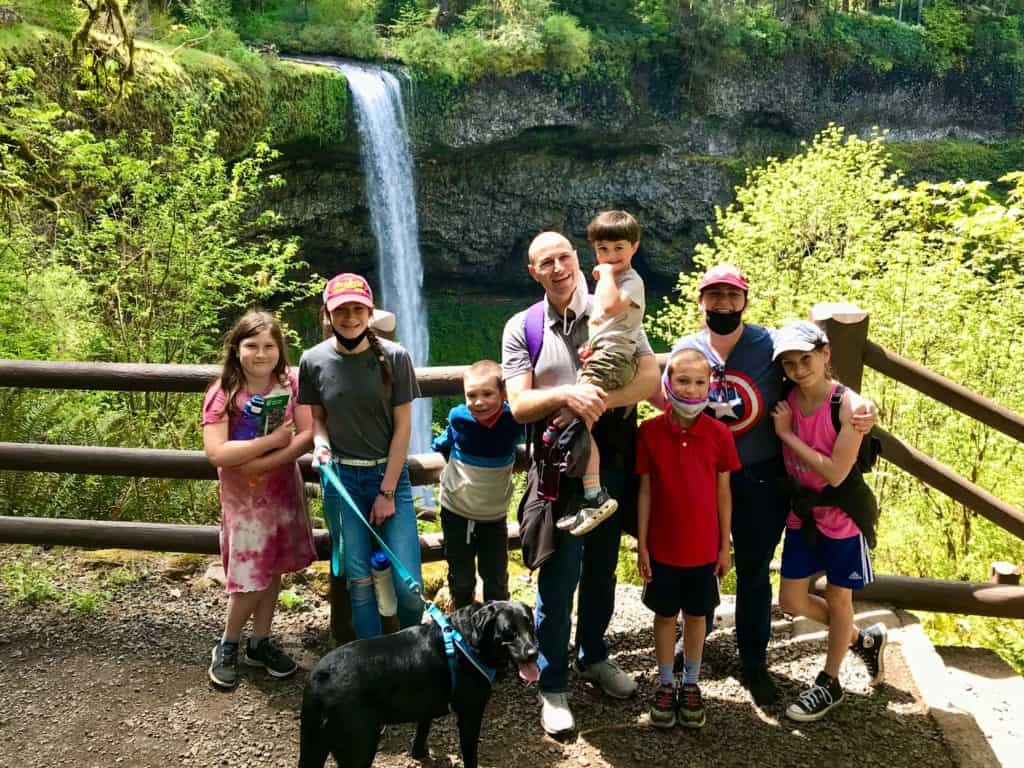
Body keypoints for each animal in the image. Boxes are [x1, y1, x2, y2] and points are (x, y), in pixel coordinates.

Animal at [299, 602, 540, 768]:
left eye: (531, 626)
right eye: (509, 632)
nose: (534, 653)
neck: (466, 640)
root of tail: (321, 676)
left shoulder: (427, 704)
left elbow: (423, 728)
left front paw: (418, 753)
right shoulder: (470, 715)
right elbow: (470, 754)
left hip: (313, 744)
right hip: (360, 745)